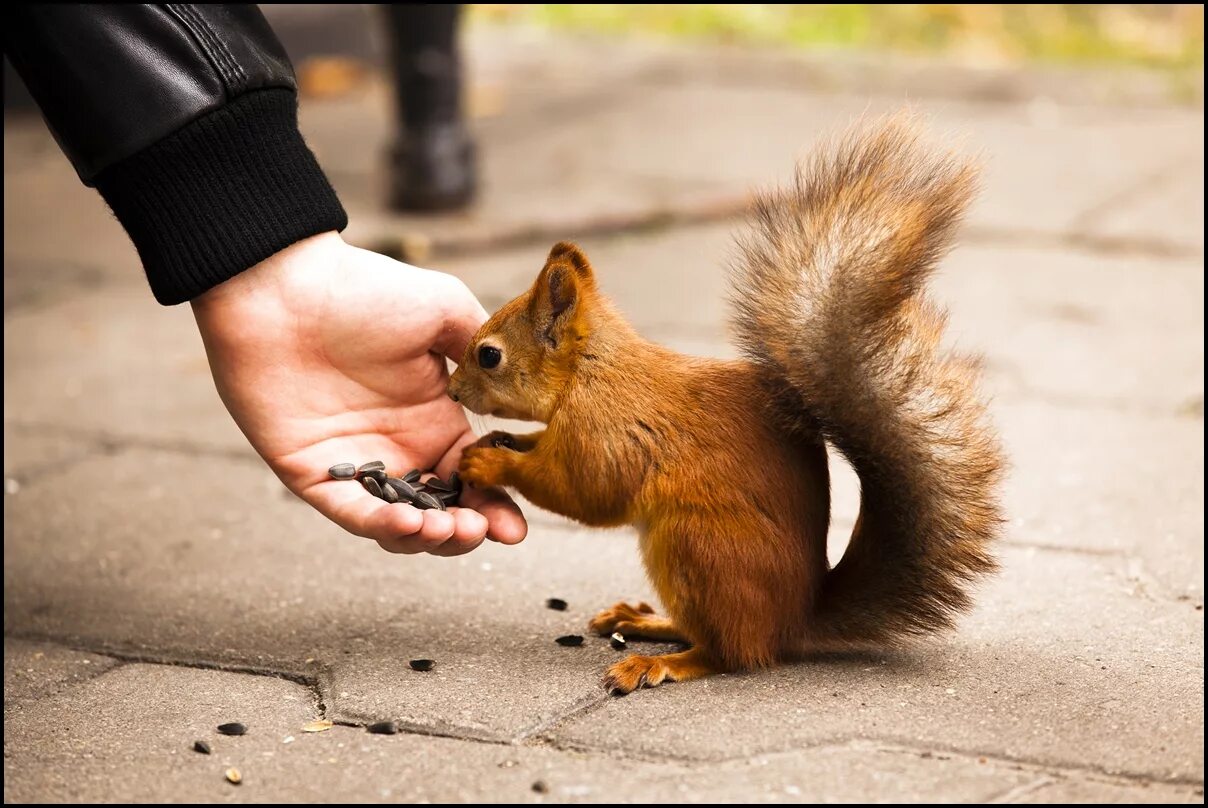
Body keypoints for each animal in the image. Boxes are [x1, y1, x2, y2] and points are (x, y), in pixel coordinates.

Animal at [449, 114, 1005, 695]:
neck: (590, 371)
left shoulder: (608, 430)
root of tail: (793, 622)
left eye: (489, 356)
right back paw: (644, 621)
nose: (453, 392)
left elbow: (585, 491)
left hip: (696, 545)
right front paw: (502, 440)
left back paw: (660, 662)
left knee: (731, 653)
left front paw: (491, 461)